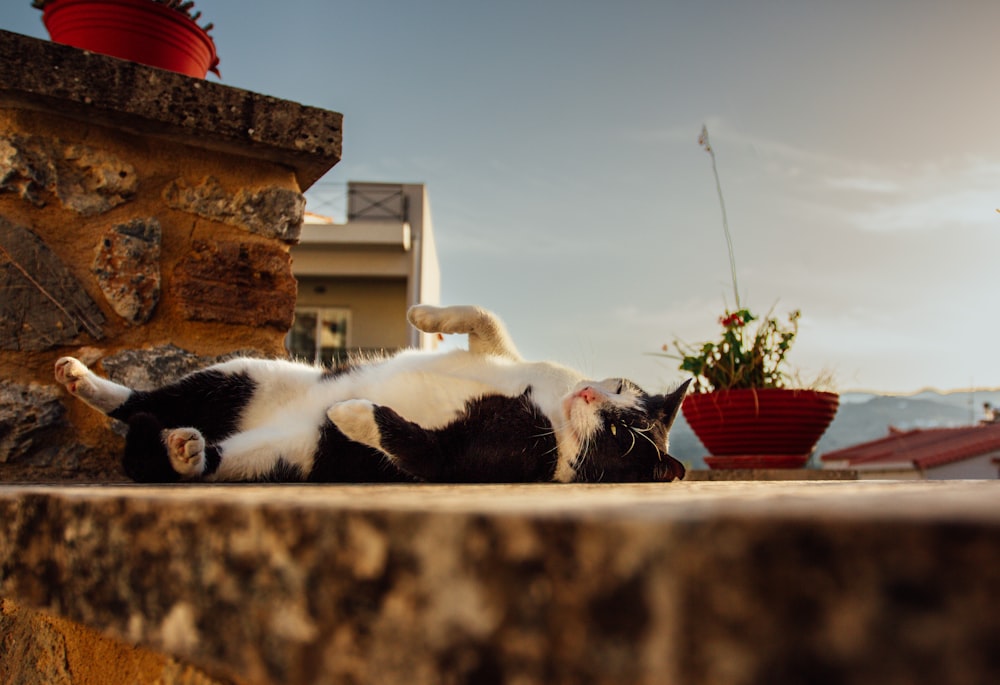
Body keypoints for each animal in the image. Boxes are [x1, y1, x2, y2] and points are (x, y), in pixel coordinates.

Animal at [52, 302, 688, 484]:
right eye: (620, 388)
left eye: (619, 438)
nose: (591, 399)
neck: (551, 408)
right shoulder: (505, 356)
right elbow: (484, 317)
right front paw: (424, 314)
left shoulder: (466, 461)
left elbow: (412, 444)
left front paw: (353, 412)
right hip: (246, 372)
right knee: (144, 401)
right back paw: (81, 378)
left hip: (278, 456)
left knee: (200, 460)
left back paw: (183, 450)